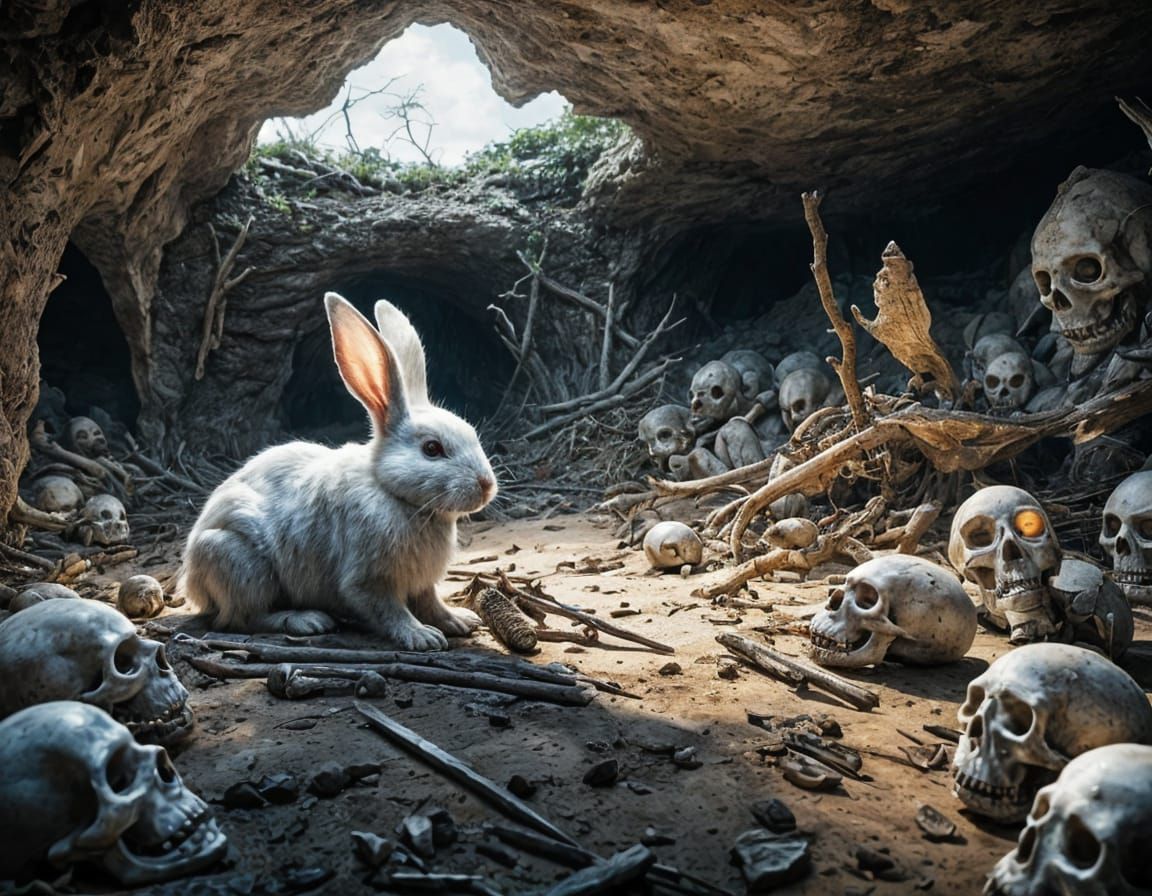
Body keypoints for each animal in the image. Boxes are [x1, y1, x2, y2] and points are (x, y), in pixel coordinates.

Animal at [177, 292, 498, 650]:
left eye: (472, 433)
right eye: (432, 449)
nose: (486, 484)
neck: (392, 492)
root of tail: (192, 581)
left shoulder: (422, 583)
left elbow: (431, 602)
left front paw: (458, 621)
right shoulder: (366, 579)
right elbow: (390, 611)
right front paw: (422, 637)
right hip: (239, 563)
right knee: (241, 618)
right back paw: (305, 620)